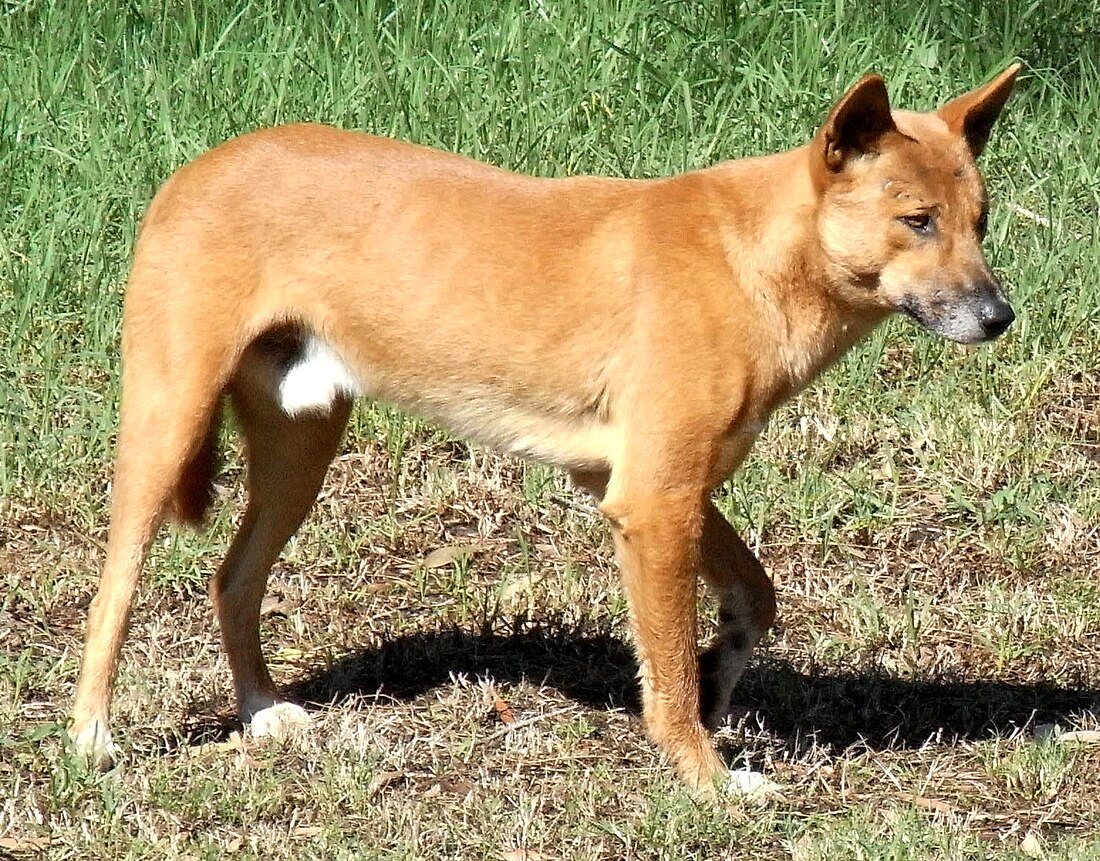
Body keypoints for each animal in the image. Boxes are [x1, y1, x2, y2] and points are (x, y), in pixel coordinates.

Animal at [70, 64, 1020, 796]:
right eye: (916, 220)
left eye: (979, 222)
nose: (1000, 316)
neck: (751, 258)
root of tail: (202, 164)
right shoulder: (654, 503)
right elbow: (670, 677)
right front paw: (708, 779)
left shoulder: (646, 487)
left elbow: (753, 596)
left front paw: (720, 679)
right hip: (166, 423)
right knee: (114, 589)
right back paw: (91, 735)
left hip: (300, 451)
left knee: (231, 579)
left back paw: (261, 711)